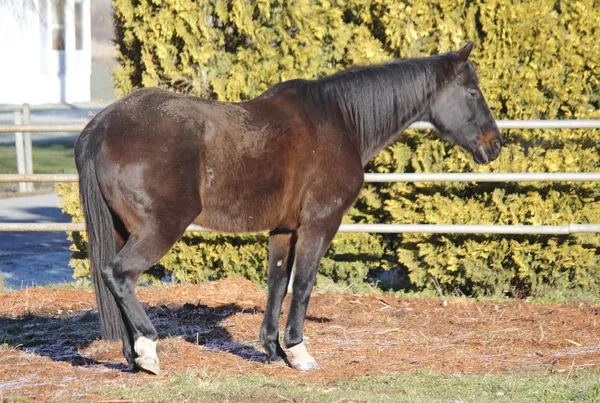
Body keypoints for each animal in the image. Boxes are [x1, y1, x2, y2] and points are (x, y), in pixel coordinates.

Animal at [74, 41, 502, 376]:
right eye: (472, 92)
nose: (495, 144)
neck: (339, 120)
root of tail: (103, 125)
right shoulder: (320, 223)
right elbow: (305, 284)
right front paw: (298, 351)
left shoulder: (284, 230)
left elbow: (277, 284)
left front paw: (273, 351)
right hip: (159, 229)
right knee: (120, 274)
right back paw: (148, 350)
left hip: (122, 229)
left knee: (117, 280)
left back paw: (132, 356)